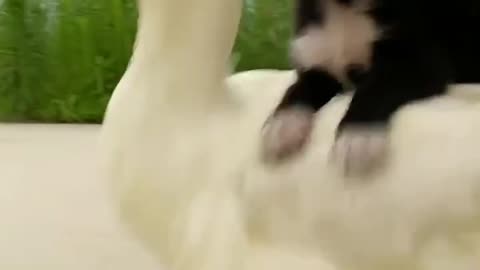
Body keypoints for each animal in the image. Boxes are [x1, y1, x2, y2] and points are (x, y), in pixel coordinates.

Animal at [260, 0, 480, 175]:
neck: (345, 7)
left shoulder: (419, 63)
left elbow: (374, 88)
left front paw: (358, 138)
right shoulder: (318, 62)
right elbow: (297, 89)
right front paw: (280, 126)